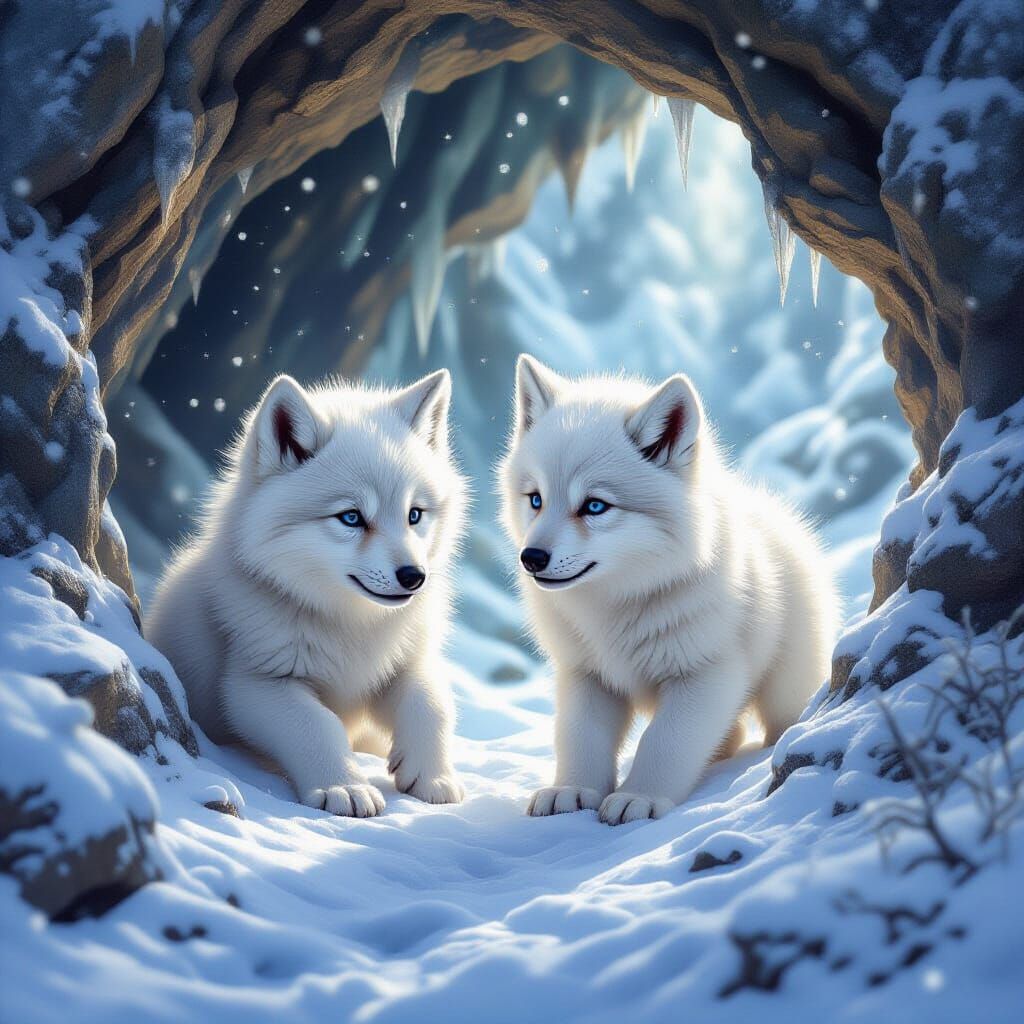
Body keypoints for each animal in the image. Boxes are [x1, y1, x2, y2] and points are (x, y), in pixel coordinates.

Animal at [147, 370, 467, 817]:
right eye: (351, 517)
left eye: (414, 515)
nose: (414, 577)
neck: (352, 626)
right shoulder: (256, 683)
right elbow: (316, 725)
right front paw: (344, 786)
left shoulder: (408, 662)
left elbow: (432, 704)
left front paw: (432, 776)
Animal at [500, 355, 838, 825]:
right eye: (535, 499)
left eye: (595, 506)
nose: (531, 558)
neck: (618, 604)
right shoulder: (587, 675)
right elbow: (580, 737)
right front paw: (574, 790)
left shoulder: (705, 675)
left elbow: (664, 741)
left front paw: (639, 797)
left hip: (785, 687)